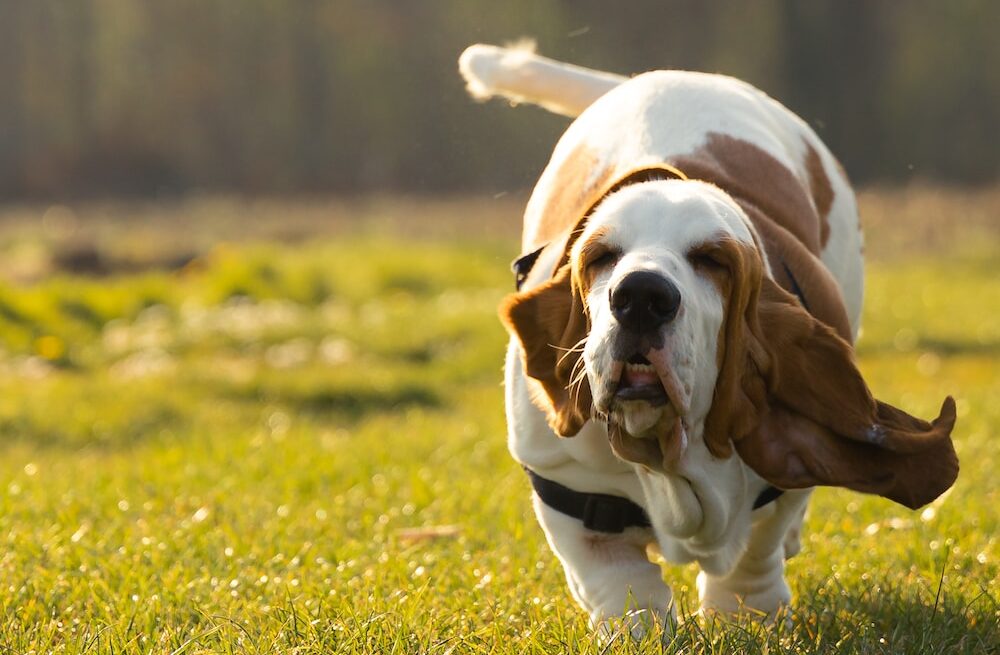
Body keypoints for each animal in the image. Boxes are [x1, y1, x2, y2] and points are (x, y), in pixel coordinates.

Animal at [458, 43, 956, 640]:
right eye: (601, 256)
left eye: (712, 260)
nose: (641, 297)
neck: (671, 453)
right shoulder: (564, 483)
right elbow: (615, 575)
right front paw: (638, 629)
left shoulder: (779, 479)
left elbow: (758, 545)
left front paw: (746, 615)